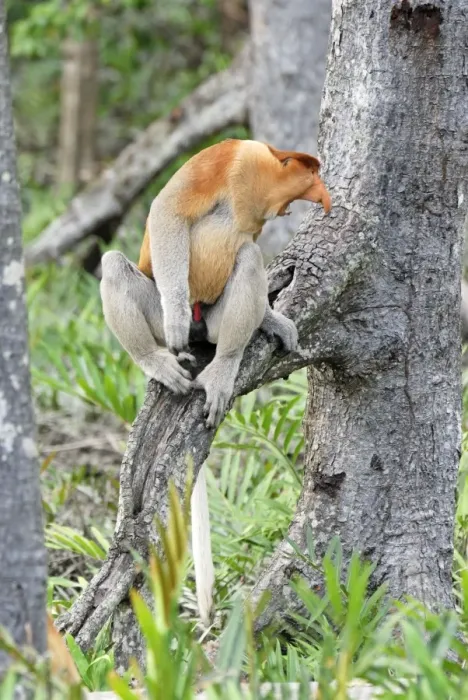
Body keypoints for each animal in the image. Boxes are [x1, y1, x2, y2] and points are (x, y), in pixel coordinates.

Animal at [99, 138, 331, 625]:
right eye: (312, 174)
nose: (323, 196)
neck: (258, 177)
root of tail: (201, 332)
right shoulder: (227, 156)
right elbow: (168, 209)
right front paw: (174, 315)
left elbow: (248, 251)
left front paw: (275, 320)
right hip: (160, 307)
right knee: (114, 264)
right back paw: (159, 356)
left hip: (217, 320)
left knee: (247, 257)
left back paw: (226, 362)